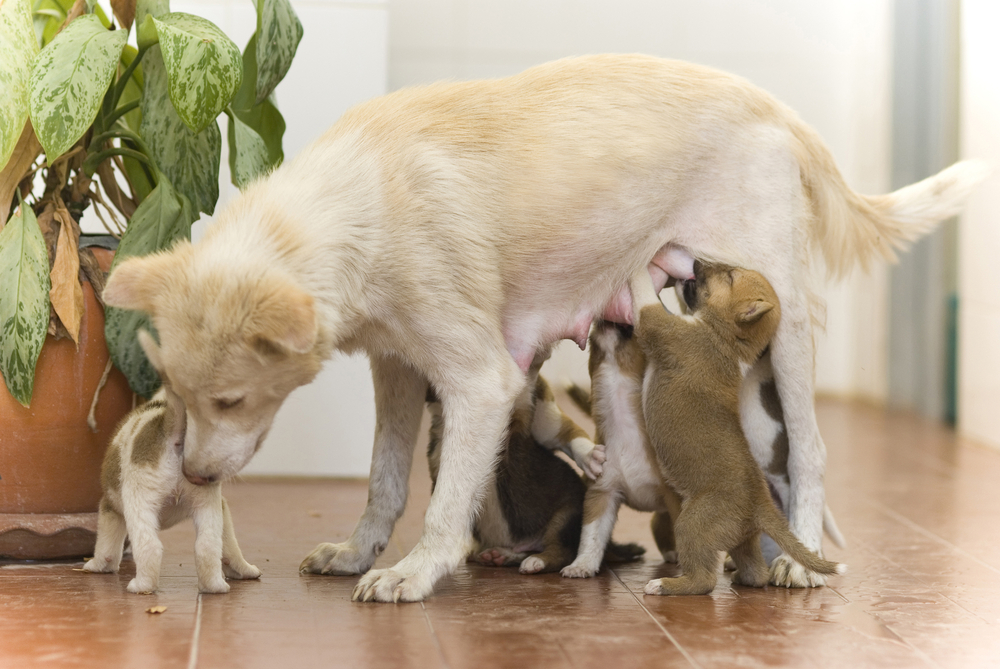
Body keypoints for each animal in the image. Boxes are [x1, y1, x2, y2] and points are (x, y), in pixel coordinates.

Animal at [83, 332, 262, 592]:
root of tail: (173, 429)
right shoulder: (221, 506)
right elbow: (229, 547)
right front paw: (243, 570)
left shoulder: (109, 508)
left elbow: (105, 547)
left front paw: (97, 565)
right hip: (205, 504)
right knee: (206, 549)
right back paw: (215, 587)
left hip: (139, 502)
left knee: (150, 548)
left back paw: (141, 586)